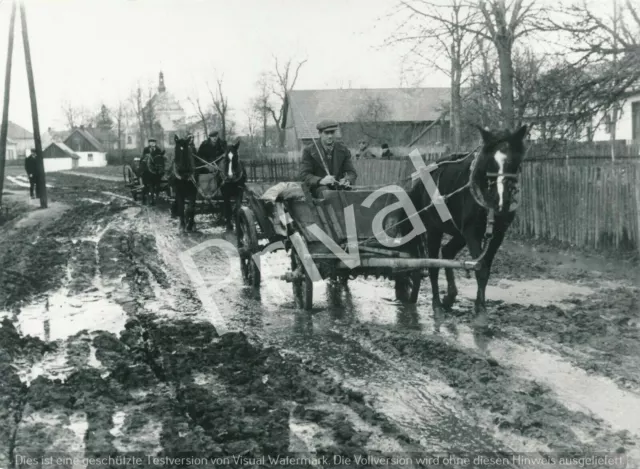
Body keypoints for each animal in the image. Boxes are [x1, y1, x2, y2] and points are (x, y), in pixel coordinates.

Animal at [398, 126, 528, 328]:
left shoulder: (498, 234)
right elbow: (480, 268)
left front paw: (479, 307)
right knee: (433, 265)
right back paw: (437, 305)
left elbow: (486, 268)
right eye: (490, 163)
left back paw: (450, 297)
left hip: (458, 233)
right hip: (435, 229)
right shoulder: (471, 232)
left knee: (447, 251)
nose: (501, 200)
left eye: (514, 162)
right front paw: (481, 314)